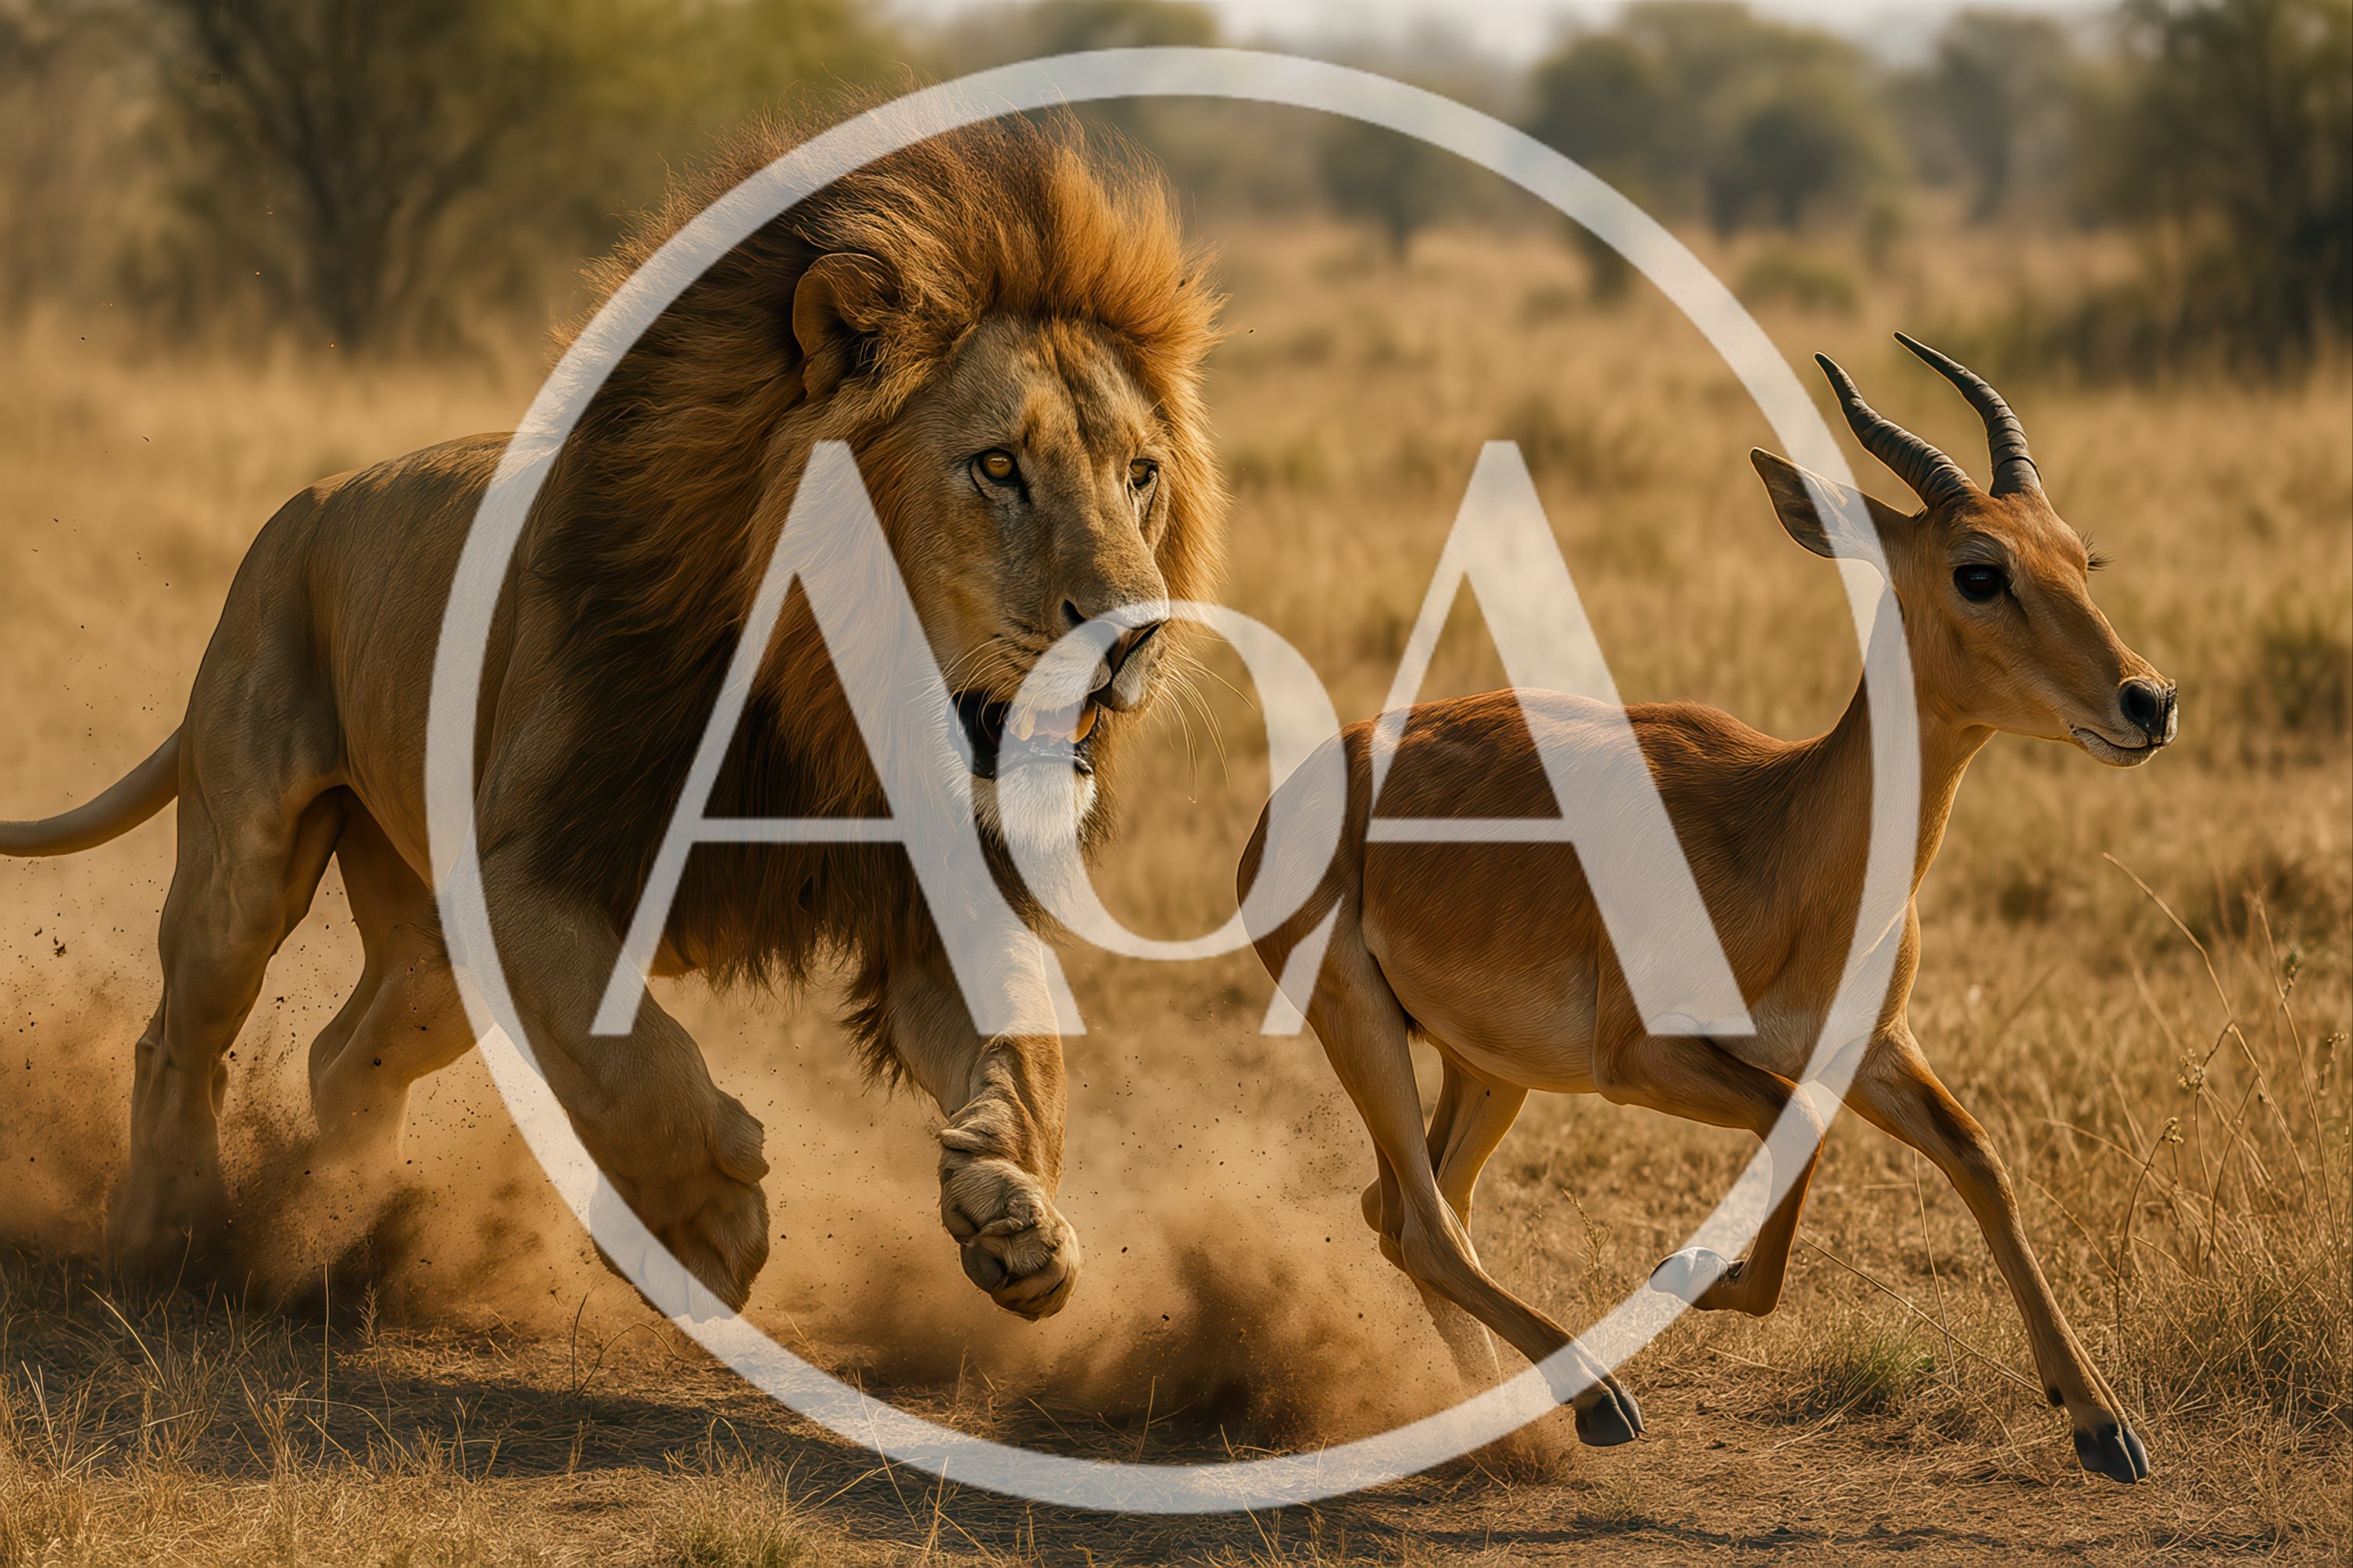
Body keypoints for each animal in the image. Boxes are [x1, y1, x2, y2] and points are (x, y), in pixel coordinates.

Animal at [0, 106, 1224, 1318]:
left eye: (1140, 473)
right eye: (996, 466)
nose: (1131, 636)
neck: (826, 713)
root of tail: (304, 507)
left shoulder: (937, 902)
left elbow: (1027, 1050)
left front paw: (1017, 1211)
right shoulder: (522, 875)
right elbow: (623, 1062)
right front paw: (708, 1219)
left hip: (427, 951)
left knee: (345, 1058)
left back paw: (334, 1225)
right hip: (250, 857)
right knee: (180, 1034)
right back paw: (172, 1233)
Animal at [1240, 337, 2170, 1482]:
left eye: (2079, 556)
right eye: (1978, 571)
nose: (2146, 700)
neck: (1780, 840)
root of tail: (1297, 789)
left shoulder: (1871, 1045)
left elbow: (1977, 1156)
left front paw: (2101, 1422)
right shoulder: (1641, 1057)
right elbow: (1793, 1123)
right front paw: (1692, 1270)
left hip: (1485, 1065)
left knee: (1413, 1209)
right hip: (1363, 1022)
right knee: (1416, 1222)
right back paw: (1593, 1399)